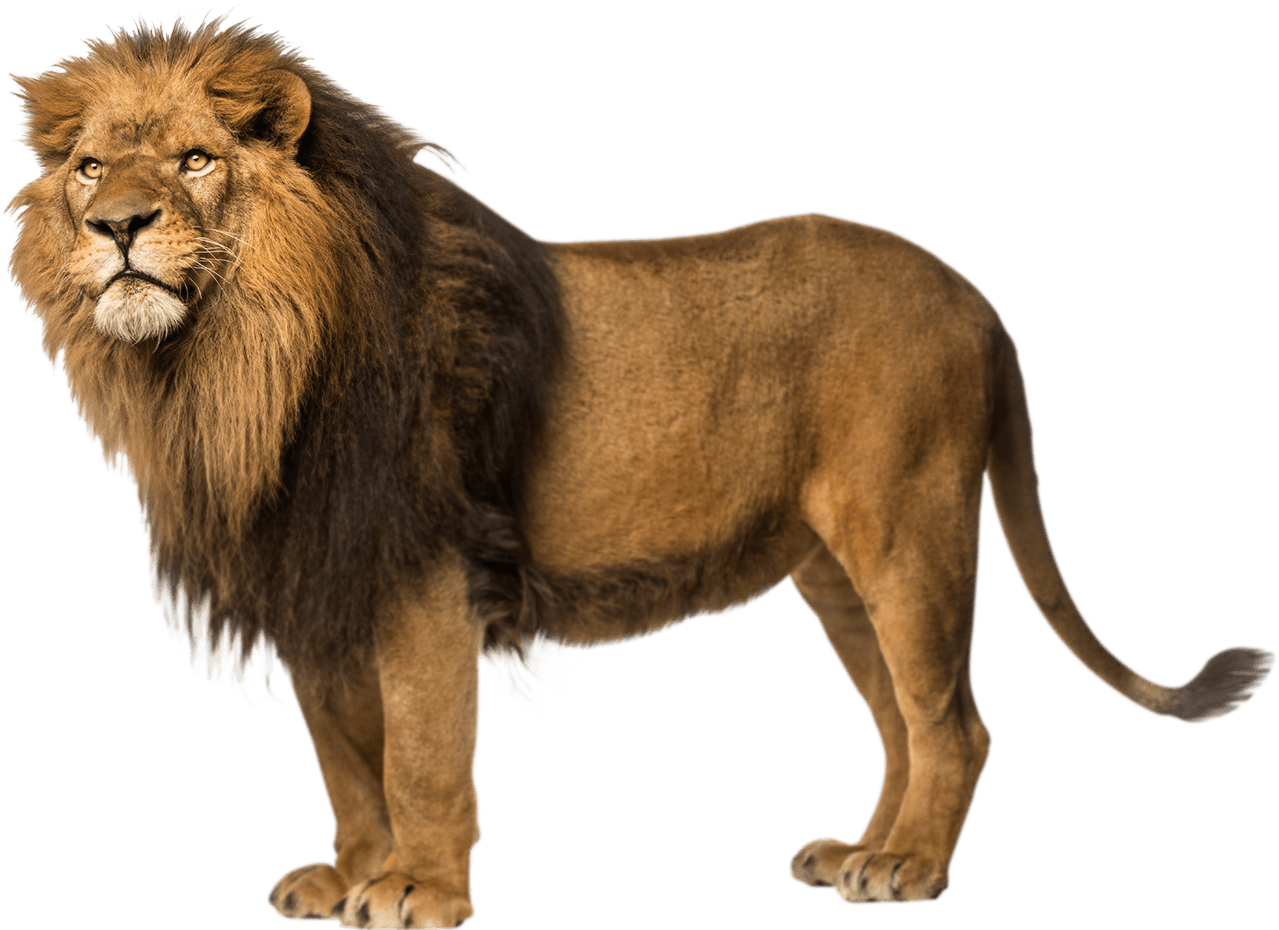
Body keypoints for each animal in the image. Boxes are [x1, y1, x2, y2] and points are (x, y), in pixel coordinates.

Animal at [6, 12, 1274, 927]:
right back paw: (862, 853)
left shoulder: (425, 579)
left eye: (194, 160)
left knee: (954, 722)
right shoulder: (317, 576)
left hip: (908, 532)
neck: (231, 365)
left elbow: (420, 753)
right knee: (901, 725)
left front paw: (417, 892)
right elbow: (345, 759)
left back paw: (909, 871)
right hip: (833, 574)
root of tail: (977, 296)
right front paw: (349, 875)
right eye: (89, 169)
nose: (118, 227)